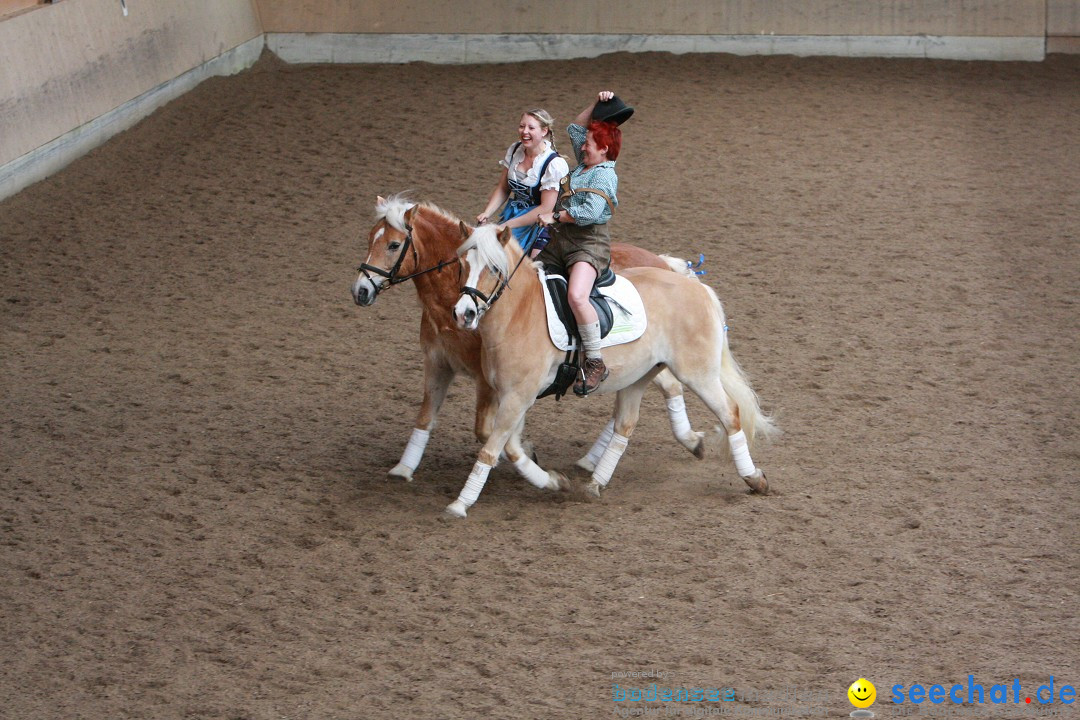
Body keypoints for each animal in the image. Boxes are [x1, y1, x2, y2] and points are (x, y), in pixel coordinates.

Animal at [349, 194, 708, 487]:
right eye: (369, 239)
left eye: (394, 245)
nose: (361, 291)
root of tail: (663, 263)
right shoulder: (438, 365)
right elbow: (425, 417)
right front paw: (403, 469)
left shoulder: (490, 382)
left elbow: (486, 430)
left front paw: (528, 453)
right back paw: (594, 460)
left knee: (670, 387)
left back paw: (688, 442)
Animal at [447, 223, 777, 518]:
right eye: (462, 265)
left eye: (493, 268)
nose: (464, 314)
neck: (520, 313)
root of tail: (697, 287)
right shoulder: (512, 397)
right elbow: (512, 450)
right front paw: (554, 481)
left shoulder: (517, 398)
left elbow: (490, 450)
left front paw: (460, 505)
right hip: (639, 376)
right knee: (625, 424)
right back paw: (595, 483)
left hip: (699, 375)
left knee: (730, 414)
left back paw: (754, 479)